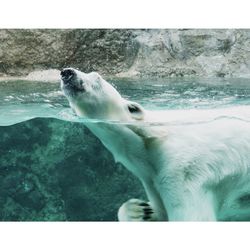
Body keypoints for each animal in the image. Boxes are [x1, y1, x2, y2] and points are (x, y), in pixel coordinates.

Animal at [61, 67, 250, 221]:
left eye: (97, 77)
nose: (67, 73)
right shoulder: (151, 178)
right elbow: (159, 212)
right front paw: (140, 210)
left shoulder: (183, 172)